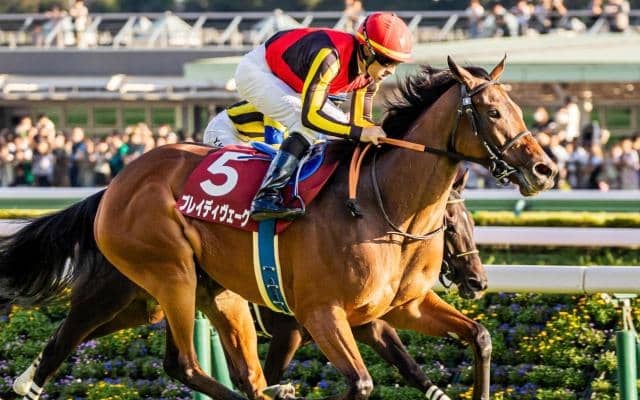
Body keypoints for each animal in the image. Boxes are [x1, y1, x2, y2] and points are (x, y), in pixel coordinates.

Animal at [11, 169, 483, 400]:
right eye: (452, 223)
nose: (477, 279)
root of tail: (108, 199)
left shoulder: (358, 320)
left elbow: (405, 361)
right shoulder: (302, 325)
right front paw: (277, 388)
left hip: (153, 302)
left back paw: (26, 377)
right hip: (120, 291)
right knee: (71, 334)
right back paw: (28, 383)